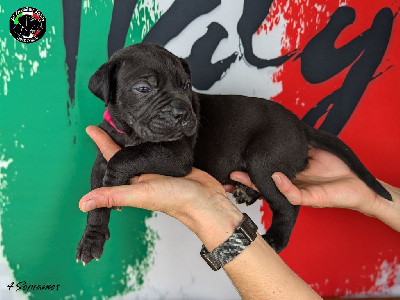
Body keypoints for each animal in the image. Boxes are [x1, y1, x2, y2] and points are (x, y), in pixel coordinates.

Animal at [76, 42, 392, 264]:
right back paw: (247, 191)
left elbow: (127, 156)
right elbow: (96, 200)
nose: (183, 114)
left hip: (265, 160)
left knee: (288, 204)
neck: (131, 133)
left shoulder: (175, 156)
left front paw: (114, 180)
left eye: (186, 85)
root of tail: (301, 127)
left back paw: (276, 238)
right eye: (143, 88)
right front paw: (92, 238)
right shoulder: (100, 158)